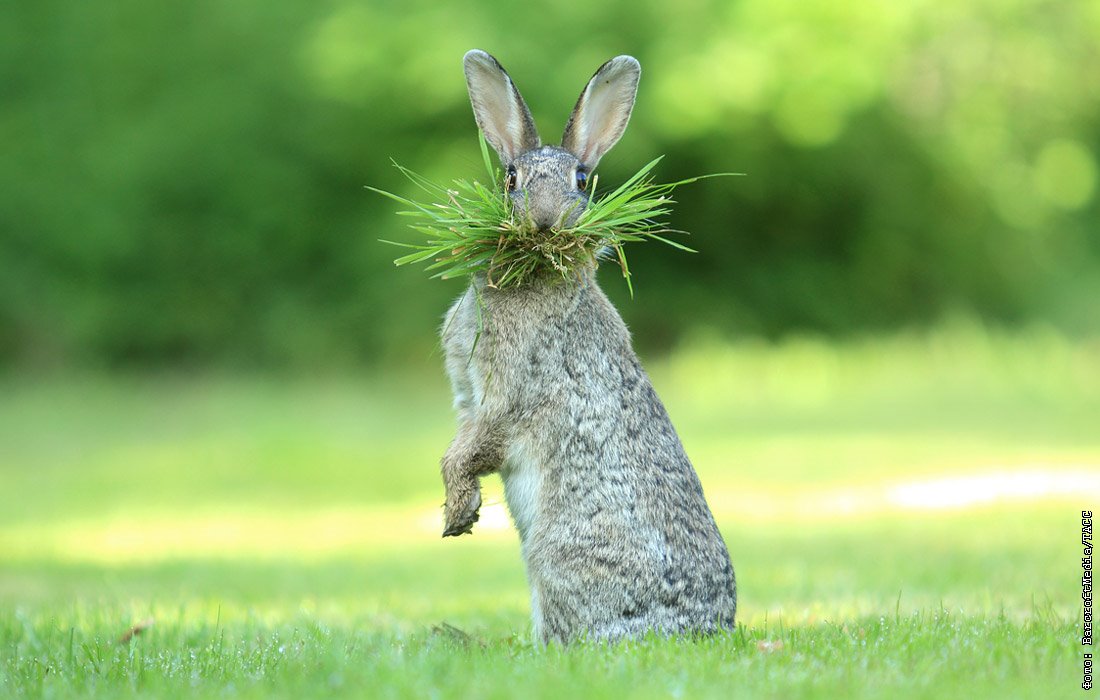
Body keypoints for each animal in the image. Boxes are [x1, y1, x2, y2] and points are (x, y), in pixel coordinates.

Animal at [437, 46, 739, 642]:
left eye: (581, 179)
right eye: (511, 178)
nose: (545, 221)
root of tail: (705, 630)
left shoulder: (507, 394)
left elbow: (474, 446)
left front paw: (457, 513)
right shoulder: (468, 396)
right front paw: (462, 511)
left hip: (555, 554)